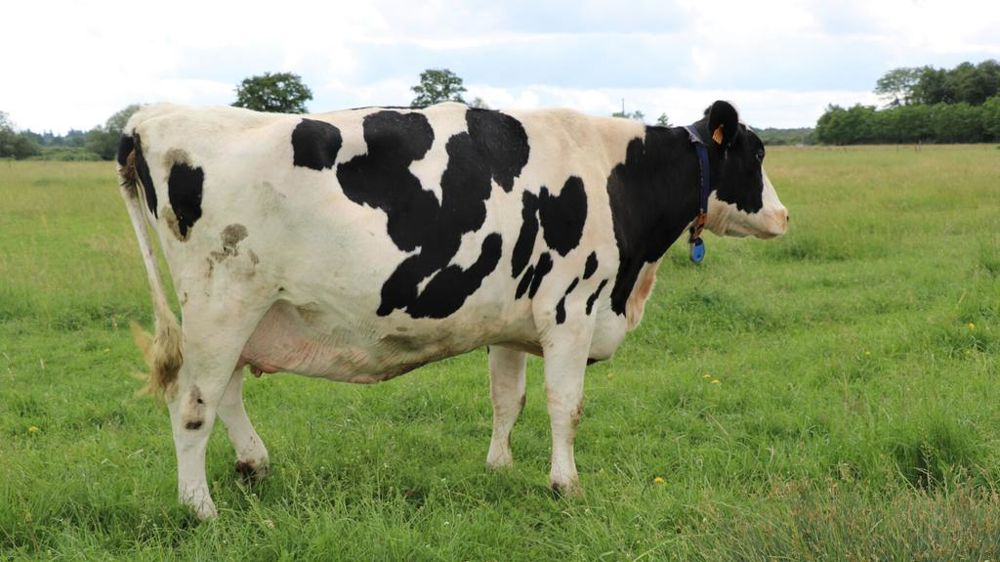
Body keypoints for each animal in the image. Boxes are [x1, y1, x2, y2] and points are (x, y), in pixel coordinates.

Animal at [117, 100, 787, 519]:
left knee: (225, 392)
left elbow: (508, 399)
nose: (783, 216)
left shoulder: (514, 322)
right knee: (192, 405)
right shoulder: (571, 309)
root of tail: (153, 116)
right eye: (756, 155)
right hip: (222, 302)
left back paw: (254, 465)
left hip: (248, 314)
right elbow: (564, 405)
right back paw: (199, 508)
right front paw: (565, 485)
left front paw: (500, 469)